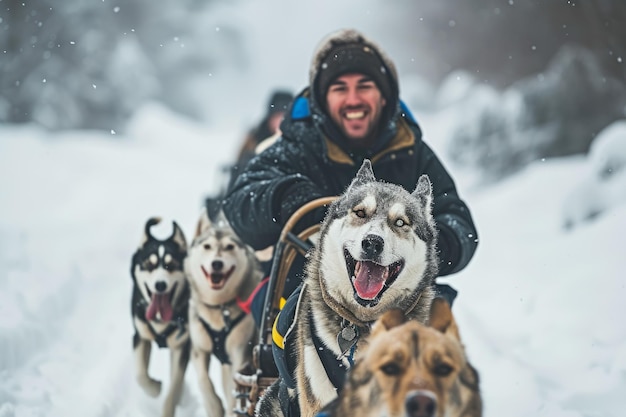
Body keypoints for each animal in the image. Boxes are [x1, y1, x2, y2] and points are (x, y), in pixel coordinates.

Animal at [130, 218, 189, 416]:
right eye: (150, 265)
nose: (160, 285)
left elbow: (174, 386)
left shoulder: (182, 345)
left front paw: (171, 403)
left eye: (171, 265)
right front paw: (154, 388)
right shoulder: (140, 336)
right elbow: (140, 375)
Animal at [185, 206, 264, 414]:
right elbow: (203, 380)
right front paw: (213, 406)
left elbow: (232, 394)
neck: (219, 307)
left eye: (229, 247)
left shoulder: (239, 353)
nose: (217, 263)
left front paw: (228, 409)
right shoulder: (199, 349)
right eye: (207, 246)